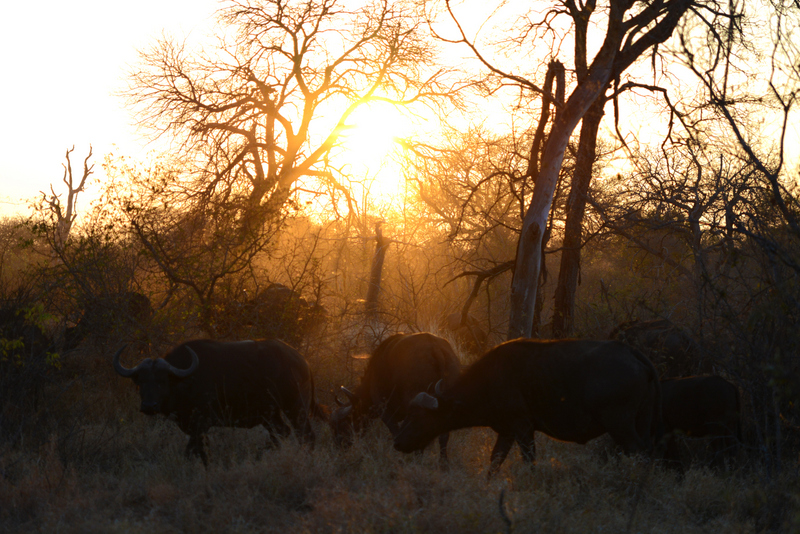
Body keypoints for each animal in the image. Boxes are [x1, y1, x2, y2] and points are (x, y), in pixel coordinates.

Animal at [113, 339, 321, 465]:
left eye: (162, 381)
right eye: (141, 381)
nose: (149, 406)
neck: (187, 381)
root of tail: (303, 361)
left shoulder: (201, 423)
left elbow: (192, 450)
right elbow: (200, 450)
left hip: (296, 408)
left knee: (306, 436)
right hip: (269, 414)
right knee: (281, 432)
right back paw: (259, 455)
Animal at [331, 333, 461, 462]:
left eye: (342, 424)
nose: (338, 446)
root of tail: (435, 347)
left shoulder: (385, 412)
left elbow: (396, 433)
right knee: (444, 435)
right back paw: (443, 461)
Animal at [394, 338, 662, 477]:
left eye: (417, 416)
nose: (397, 442)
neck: (490, 379)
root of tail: (633, 353)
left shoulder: (523, 429)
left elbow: (528, 461)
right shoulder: (506, 432)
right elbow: (494, 462)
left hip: (620, 423)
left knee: (638, 452)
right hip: (642, 420)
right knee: (648, 452)